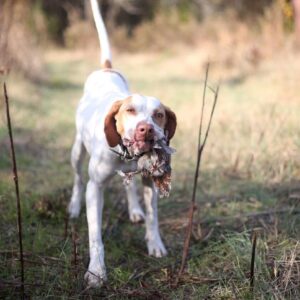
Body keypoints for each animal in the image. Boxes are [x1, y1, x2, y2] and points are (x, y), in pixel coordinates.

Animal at [68, 0, 176, 286]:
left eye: (158, 114)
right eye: (130, 110)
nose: (145, 129)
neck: (126, 154)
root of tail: (106, 68)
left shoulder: (150, 180)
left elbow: (153, 218)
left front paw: (155, 244)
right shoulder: (95, 189)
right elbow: (95, 236)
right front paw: (96, 271)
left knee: (129, 186)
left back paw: (135, 209)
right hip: (77, 152)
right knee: (77, 179)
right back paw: (73, 206)